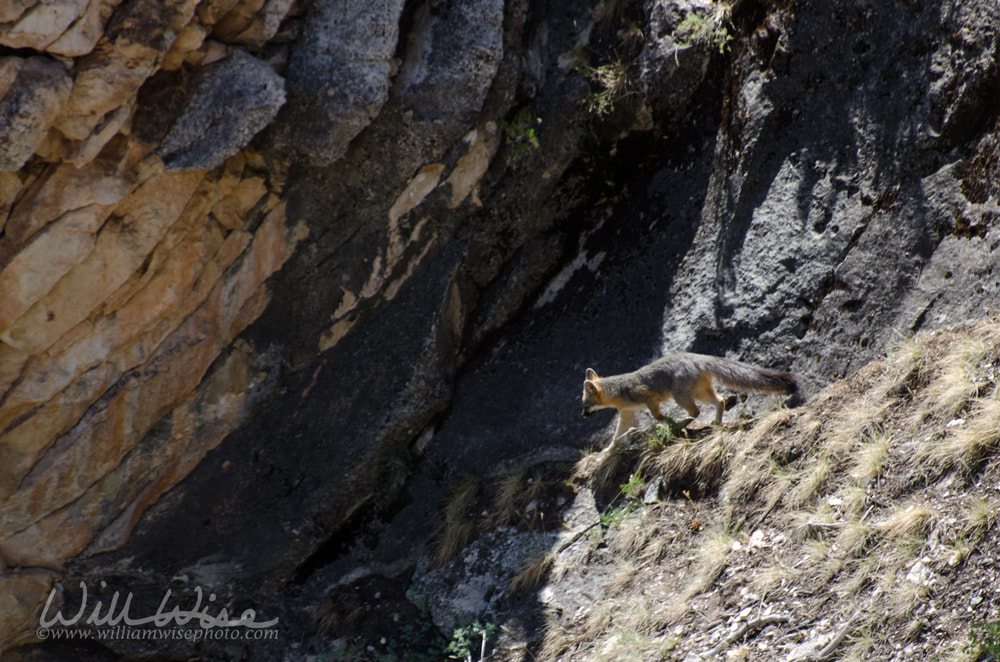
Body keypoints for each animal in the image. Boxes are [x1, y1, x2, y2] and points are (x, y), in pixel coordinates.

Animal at [580, 356, 796, 444]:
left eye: (585, 405)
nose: (582, 415)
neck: (620, 391)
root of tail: (695, 357)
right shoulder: (627, 413)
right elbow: (617, 436)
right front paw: (608, 451)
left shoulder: (650, 397)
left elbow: (658, 417)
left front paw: (668, 422)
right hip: (700, 394)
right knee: (720, 401)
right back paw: (717, 422)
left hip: (680, 397)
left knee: (696, 412)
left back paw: (680, 425)